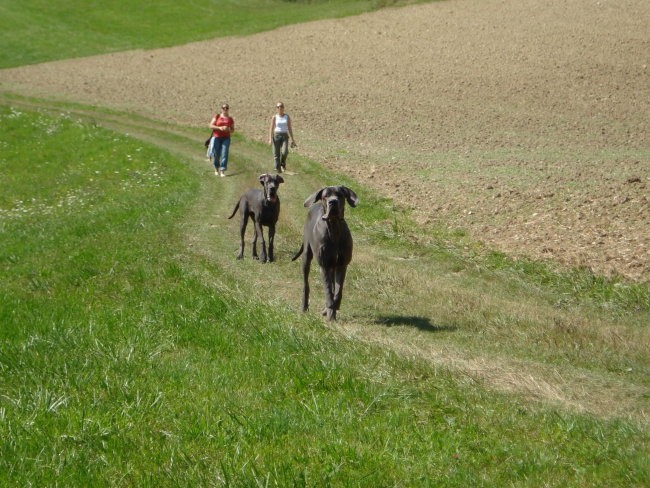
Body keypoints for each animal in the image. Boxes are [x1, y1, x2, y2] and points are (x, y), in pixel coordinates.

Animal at [294, 186, 360, 320]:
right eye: (325, 196)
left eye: (340, 195)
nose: (333, 202)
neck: (334, 228)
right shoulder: (324, 265)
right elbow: (328, 292)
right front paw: (331, 316)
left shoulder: (342, 265)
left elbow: (337, 292)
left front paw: (331, 309)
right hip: (307, 256)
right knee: (306, 285)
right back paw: (304, 307)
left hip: (332, 266)